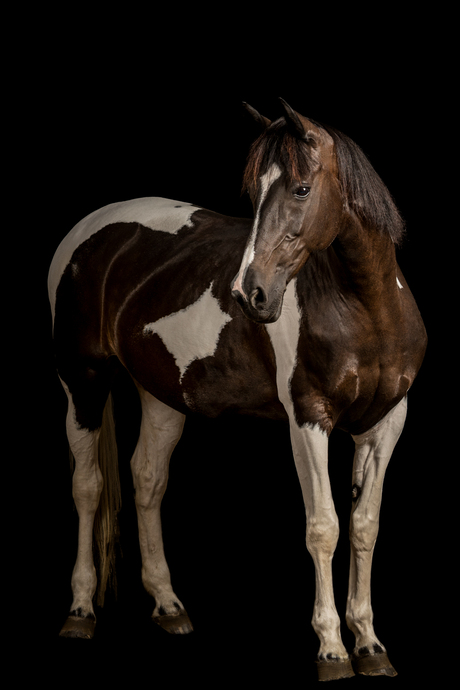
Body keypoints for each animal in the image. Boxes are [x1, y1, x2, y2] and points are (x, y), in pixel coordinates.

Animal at [48, 98, 426, 680]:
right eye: (254, 194)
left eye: (301, 189)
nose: (251, 294)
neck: (368, 312)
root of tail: (89, 228)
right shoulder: (308, 419)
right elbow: (324, 527)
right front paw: (332, 649)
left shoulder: (387, 423)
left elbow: (365, 526)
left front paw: (369, 643)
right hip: (82, 382)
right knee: (87, 486)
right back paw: (81, 609)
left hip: (162, 395)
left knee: (147, 479)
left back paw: (168, 605)